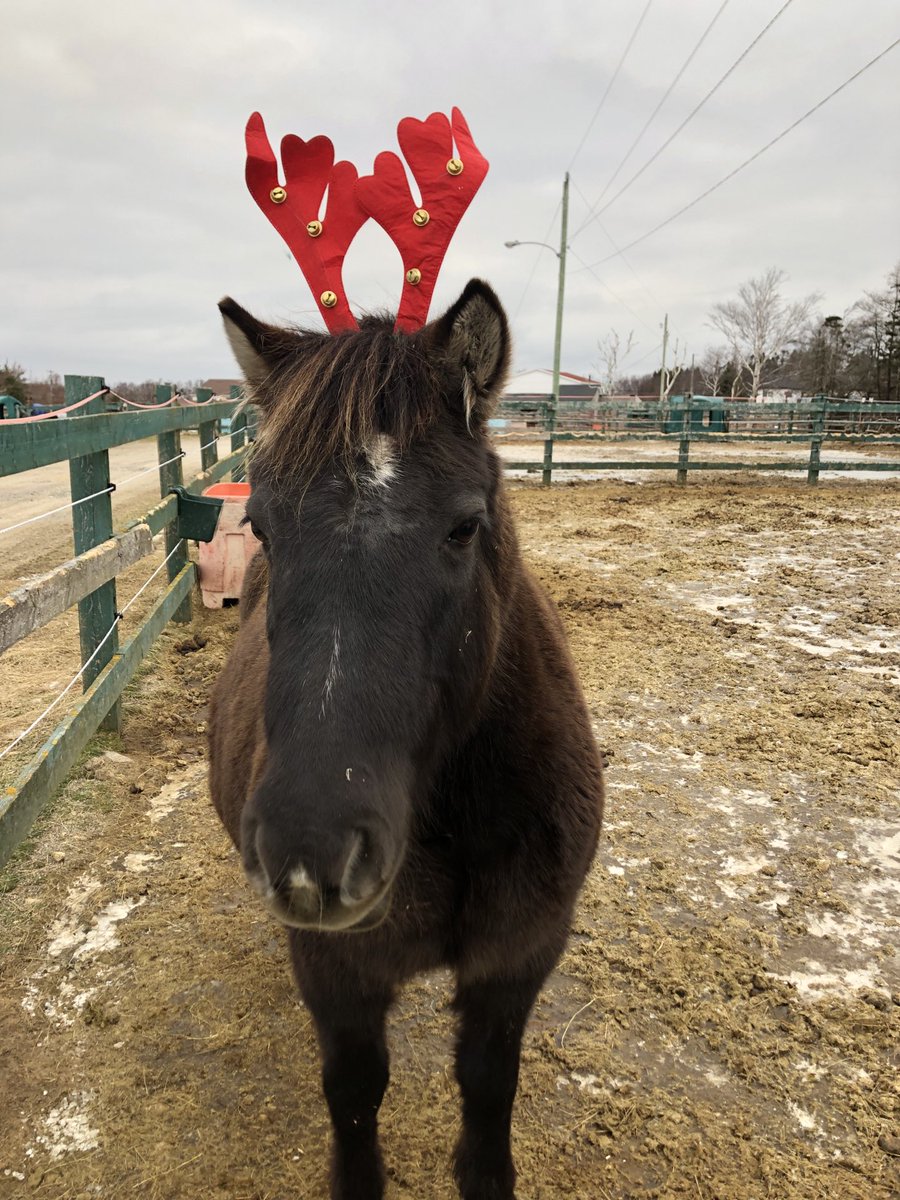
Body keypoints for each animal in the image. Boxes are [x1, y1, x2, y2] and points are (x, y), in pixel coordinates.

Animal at [208, 278, 604, 1200]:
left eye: (464, 526)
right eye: (265, 529)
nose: (311, 852)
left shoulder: (518, 959)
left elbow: (489, 1086)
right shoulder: (338, 975)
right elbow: (354, 1094)